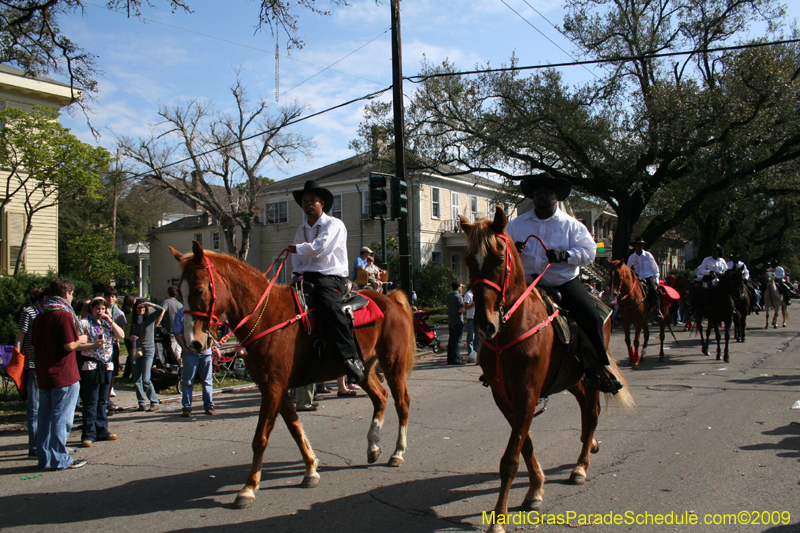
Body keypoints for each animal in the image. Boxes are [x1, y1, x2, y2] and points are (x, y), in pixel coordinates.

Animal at [171, 241, 416, 508]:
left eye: (198, 290)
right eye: (179, 293)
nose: (193, 343)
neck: (265, 316)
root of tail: (390, 299)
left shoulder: (273, 387)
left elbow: (261, 438)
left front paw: (248, 488)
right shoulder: (274, 386)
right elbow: (295, 428)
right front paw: (311, 469)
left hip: (392, 363)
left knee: (402, 402)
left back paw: (398, 452)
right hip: (363, 368)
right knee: (380, 397)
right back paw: (373, 446)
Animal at [460, 209, 636, 532]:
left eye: (499, 259)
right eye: (468, 260)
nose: (484, 324)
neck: (513, 328)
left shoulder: (527, 394)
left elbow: (510, 458)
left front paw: (499, 518)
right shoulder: (505, 398)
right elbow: (524, 445)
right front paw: (536, 489)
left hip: (591, 378)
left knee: (592, 413)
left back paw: (580, 466)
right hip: (573, 378)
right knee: (586, 413)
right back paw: (589, 446)